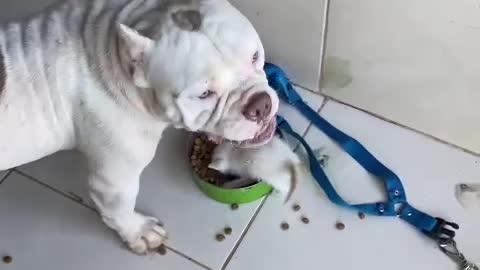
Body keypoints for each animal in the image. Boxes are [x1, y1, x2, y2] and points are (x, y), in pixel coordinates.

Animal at [0, 0, 278, 253]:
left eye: (255, 56)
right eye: (204, 94)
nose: (260, 105)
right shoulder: (114, 181)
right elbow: (119, 210)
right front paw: (140, 233)